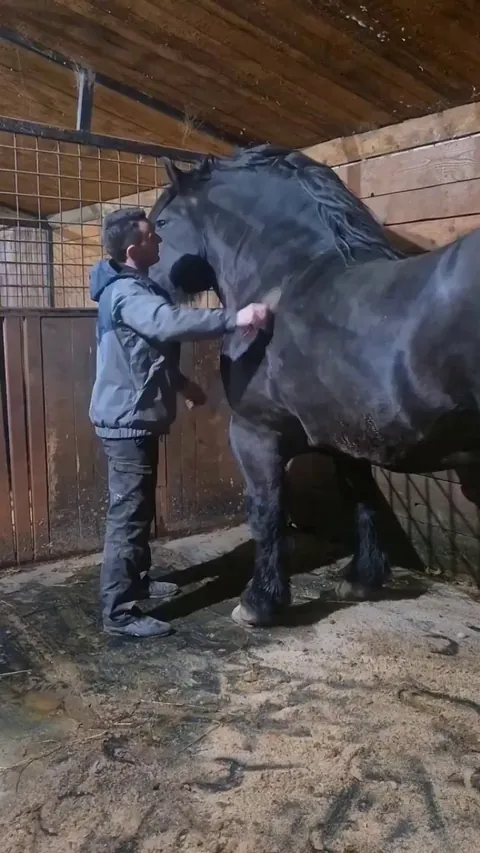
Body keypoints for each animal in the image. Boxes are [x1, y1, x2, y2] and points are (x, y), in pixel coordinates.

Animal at [148, 144, 480, 627]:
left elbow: (267, 511)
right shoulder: (347, 436)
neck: (288, 280)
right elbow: (361, 497)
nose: (143, 284)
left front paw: (260, 602)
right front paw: (363, 578)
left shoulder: (255, 432)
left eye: (160, 225)